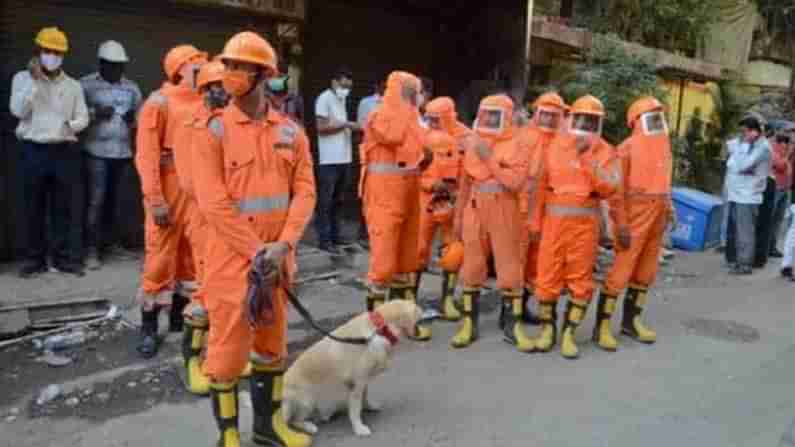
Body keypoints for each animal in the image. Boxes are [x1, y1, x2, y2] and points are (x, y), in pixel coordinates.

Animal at [282, 300, 426, 438]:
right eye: (418, 316)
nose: (420, 332)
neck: (380, 330)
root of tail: (284, 387)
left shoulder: (363, 381)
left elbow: (365, 396)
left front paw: (369, 407)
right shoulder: (357, 383)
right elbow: (355, 410)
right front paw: (359, 428)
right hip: (308, 400)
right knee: (295, 420)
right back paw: (310, 426)